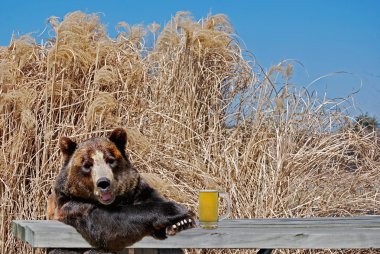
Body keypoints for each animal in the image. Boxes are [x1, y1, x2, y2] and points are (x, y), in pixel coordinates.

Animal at [47, 129, 196, 254]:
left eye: (110, 160)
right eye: (87, 165)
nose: (103, 183)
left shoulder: (136, 190)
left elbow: (152, 198)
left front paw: (181, 223)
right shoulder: (72, 204)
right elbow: (108, 223)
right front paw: (176, 209)